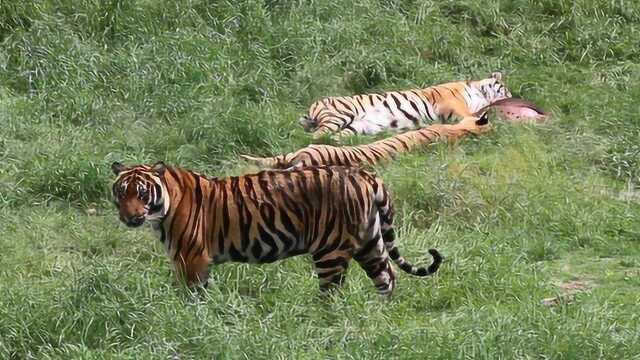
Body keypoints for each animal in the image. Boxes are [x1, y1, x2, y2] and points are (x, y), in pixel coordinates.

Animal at [111, 163, 440, 296]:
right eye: (121, 193)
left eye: (142, 194)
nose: (129, 217)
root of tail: (365, 175)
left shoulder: (191, 259)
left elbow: (192, 295)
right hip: (370, 241)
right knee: (387, 277)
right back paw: (380, 314)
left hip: (330, 250)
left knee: (332, 294)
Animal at [300, 72, 510, 138]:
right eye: (506, 91)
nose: (510, 97)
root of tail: (312, 106)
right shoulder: (450, 101)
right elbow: (466, 113)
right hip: (340, 115)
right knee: (316, 135)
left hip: (357, 127)